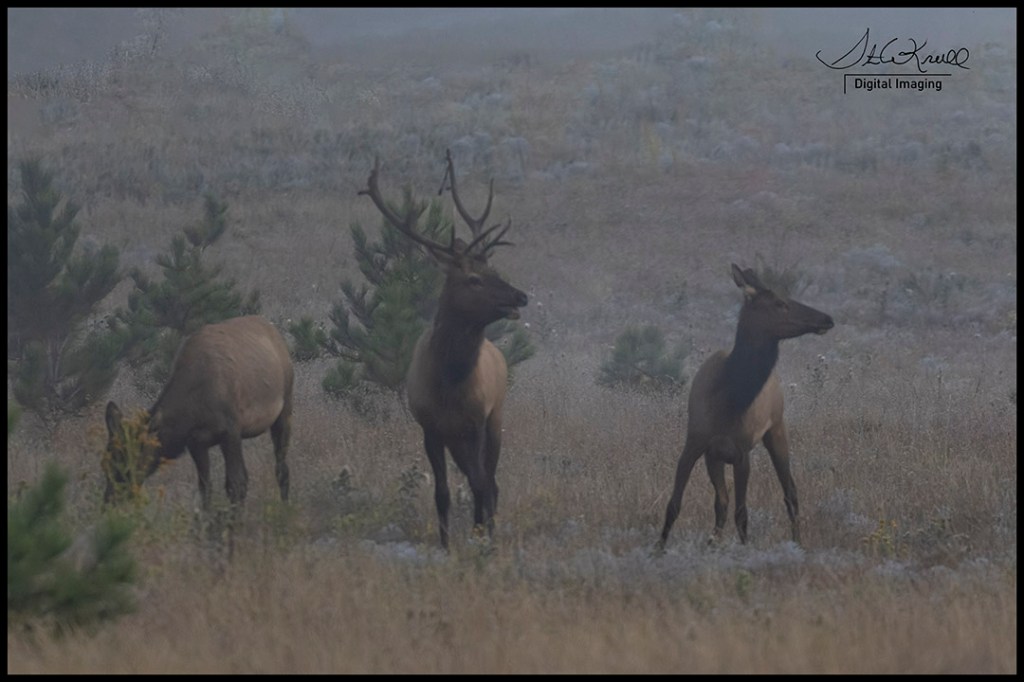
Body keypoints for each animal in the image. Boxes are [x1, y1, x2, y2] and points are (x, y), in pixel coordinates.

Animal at [102, 315, 294, 511]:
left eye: (127, 461)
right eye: (105, 464)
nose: (109, 502)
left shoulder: (231, 432)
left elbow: (236, 484)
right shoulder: (196, 442)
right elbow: (205, 489)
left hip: (285, 407)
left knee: (281, 467)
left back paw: (286, 508)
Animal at [359, 150, 528, 551]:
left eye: (494, 269)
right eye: (474, 279)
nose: (520, 296)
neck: (449, 384)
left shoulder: (477, 422)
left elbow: (481, 486)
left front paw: (482, 538)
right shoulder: (431, 428)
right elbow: (442, 493)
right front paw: (447, 545)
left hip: (495, 420)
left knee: (492, 483)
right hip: (457, 440)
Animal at [656, 264, 833, 551]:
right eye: (780, 303)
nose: (827, 318)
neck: (729, 401)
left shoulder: (741, 452)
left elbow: (743, 513)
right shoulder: (696, 443)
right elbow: (674, 504)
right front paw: (657, 549)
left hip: (776, 429)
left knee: (790, 492)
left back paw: (797, 542)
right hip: (716, 457)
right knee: (722, 503)